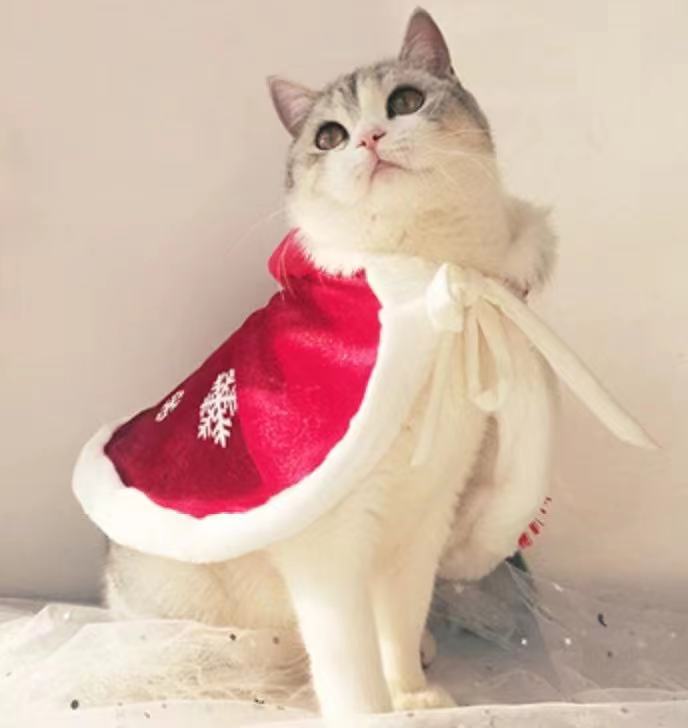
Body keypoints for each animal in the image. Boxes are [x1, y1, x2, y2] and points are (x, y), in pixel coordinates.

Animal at [103, 8, 557, 721]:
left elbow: (398, 621)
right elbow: (348, 653)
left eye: (404, 101)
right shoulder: (328, 545)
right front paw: (369, 709)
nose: (369, 138)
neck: (424, 275)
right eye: (330, 135)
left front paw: (412, 693)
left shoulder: (422, 521)